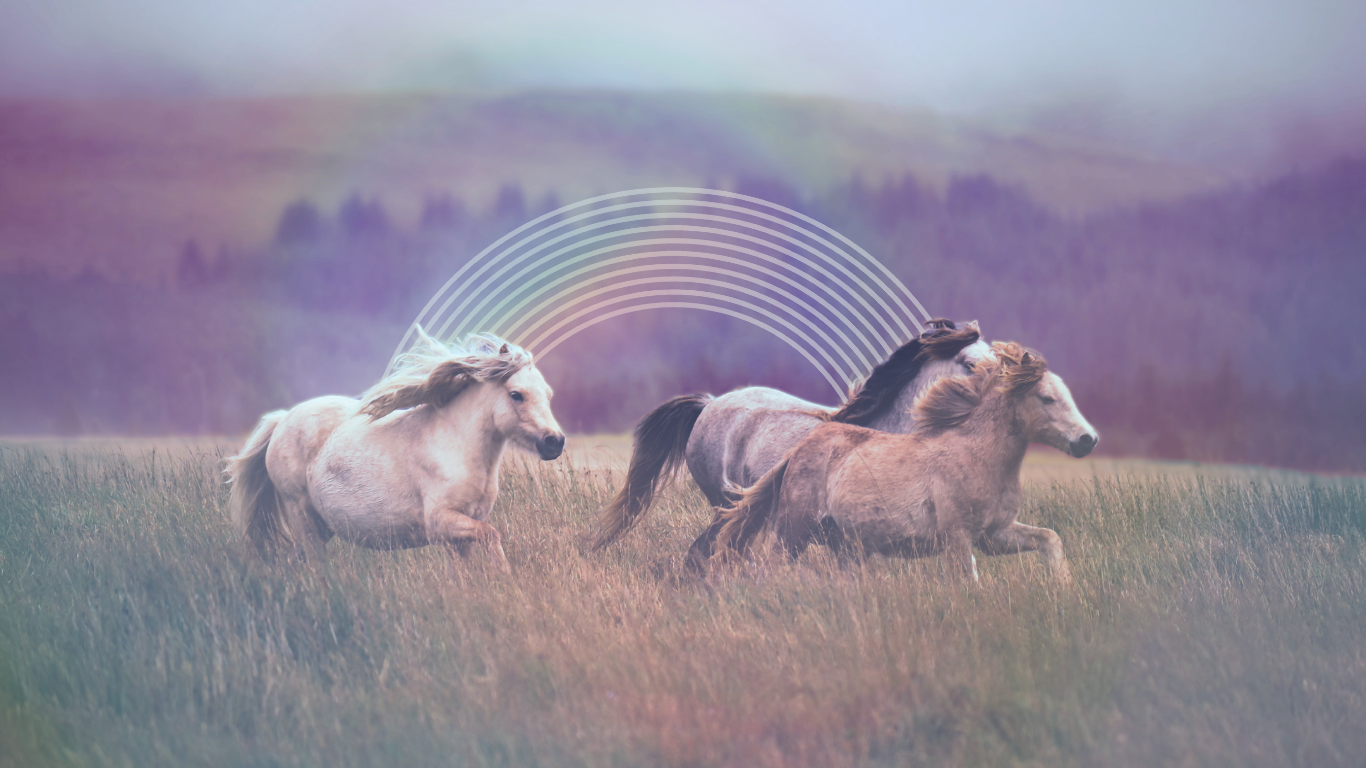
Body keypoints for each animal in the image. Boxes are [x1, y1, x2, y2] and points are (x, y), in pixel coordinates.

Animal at [225, 331, 565, 573]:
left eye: (549, 395)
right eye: (516, 395)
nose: (555, 442)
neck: (456, 447)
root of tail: (282, 419)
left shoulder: (459, 533)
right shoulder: (441, 522)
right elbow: (492, 536)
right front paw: (506, 578)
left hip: (319, 527)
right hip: (303, 516)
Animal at [712, 341, 1097, 583]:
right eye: (1046, 398)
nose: (1087, 440)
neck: (977, 456)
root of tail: (799, 450)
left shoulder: (995, 535)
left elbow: (1050, 539)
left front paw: (1065, 588)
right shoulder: (958, 538)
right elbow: (968, 582)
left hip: (846, 545)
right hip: (794, 531)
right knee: (772, 565)